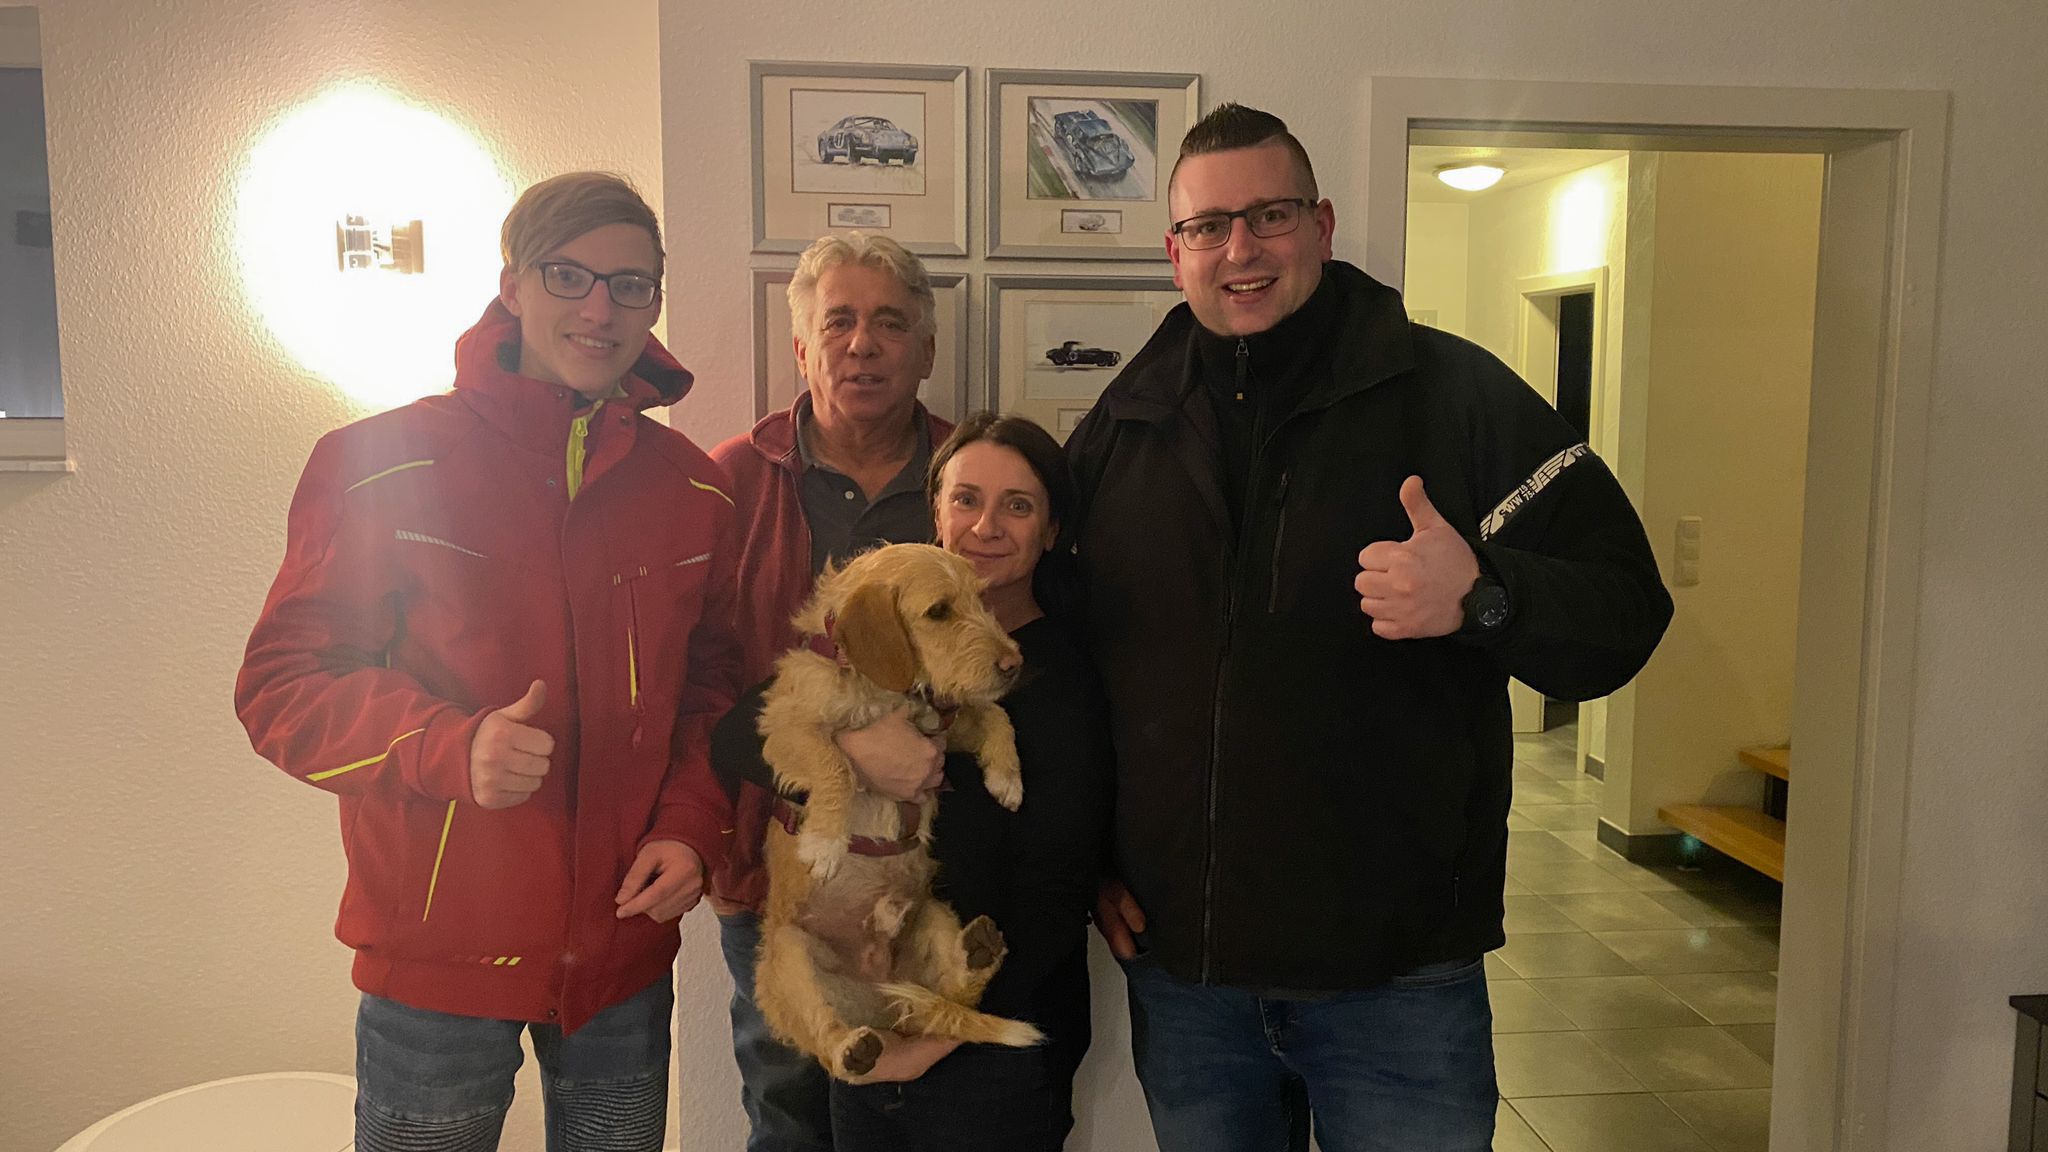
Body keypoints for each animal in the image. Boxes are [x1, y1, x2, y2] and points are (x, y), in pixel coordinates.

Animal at [753, 543, 1043, 1082]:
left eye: (981, 598)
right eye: (939, 611)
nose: (1015, 663)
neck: (886, 687)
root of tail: (880, 1001)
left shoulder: (943, 728)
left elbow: (996, 714)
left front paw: (1007, 777)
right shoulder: (784, 728)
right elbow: (835, 763)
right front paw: (825, 841)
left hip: (932, 913)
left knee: (954, 993)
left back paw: (978, 955)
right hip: (788, 955)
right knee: (827, 1037)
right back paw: (853, 1049)